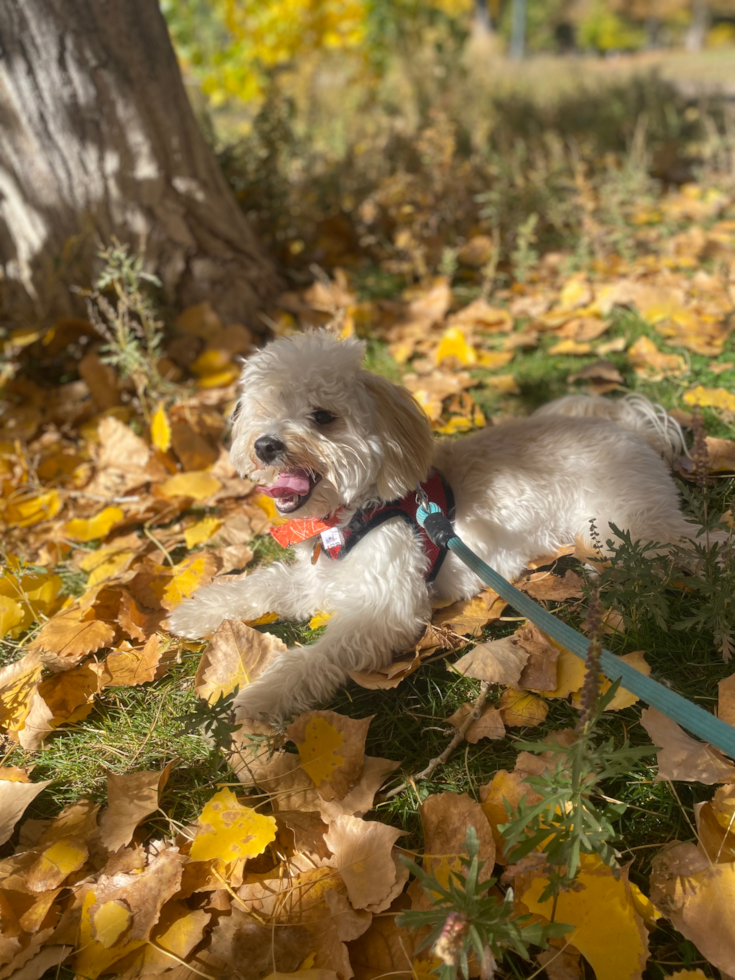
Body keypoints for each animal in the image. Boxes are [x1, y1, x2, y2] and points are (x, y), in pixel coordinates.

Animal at [170, 330, 692, 720]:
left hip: (630, 528)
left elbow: (316, 657)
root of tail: (629, 427)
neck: (356, 511)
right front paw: (198, 611)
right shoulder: (318, 578)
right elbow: (260, 585)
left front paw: (266, 695)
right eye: (260, 412)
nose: (265, 445)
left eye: (322, 417)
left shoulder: (385, 608)